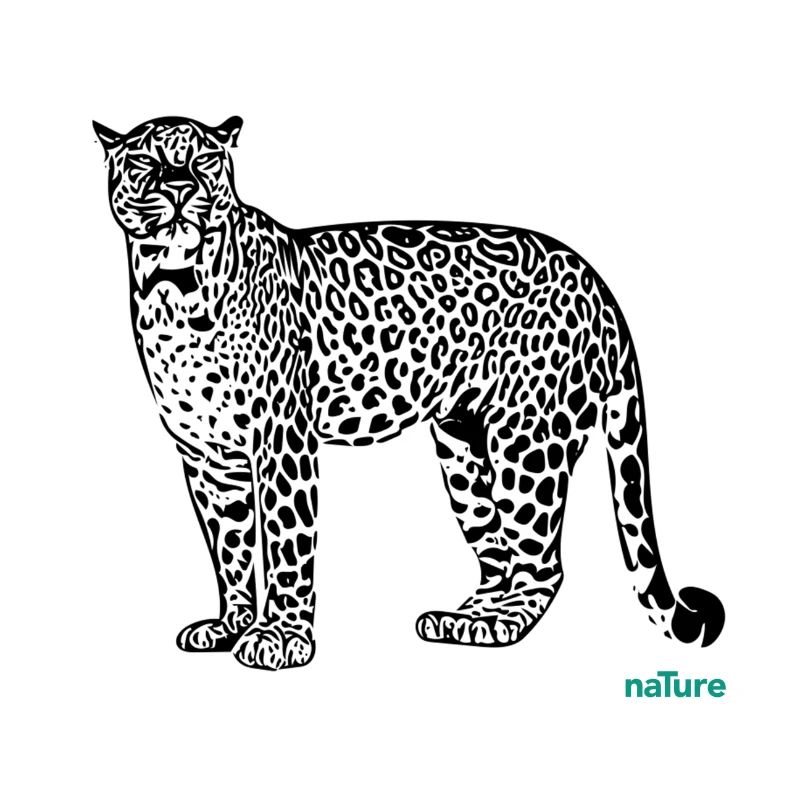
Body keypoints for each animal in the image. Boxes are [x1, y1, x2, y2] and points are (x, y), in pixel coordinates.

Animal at [94, 115, 725, 671]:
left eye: (203, 160)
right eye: (147, 162)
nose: (181, 188)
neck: (173, 291)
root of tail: (599, 282)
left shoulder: (283, 442)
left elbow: (288, 543)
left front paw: (283, 638)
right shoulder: (207, 457)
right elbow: (230, 549)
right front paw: (231, 626)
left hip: (527, 444)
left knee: (542, 561)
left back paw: (501, 624)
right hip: (464, 451)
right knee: (497, 553)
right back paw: (465, 618)